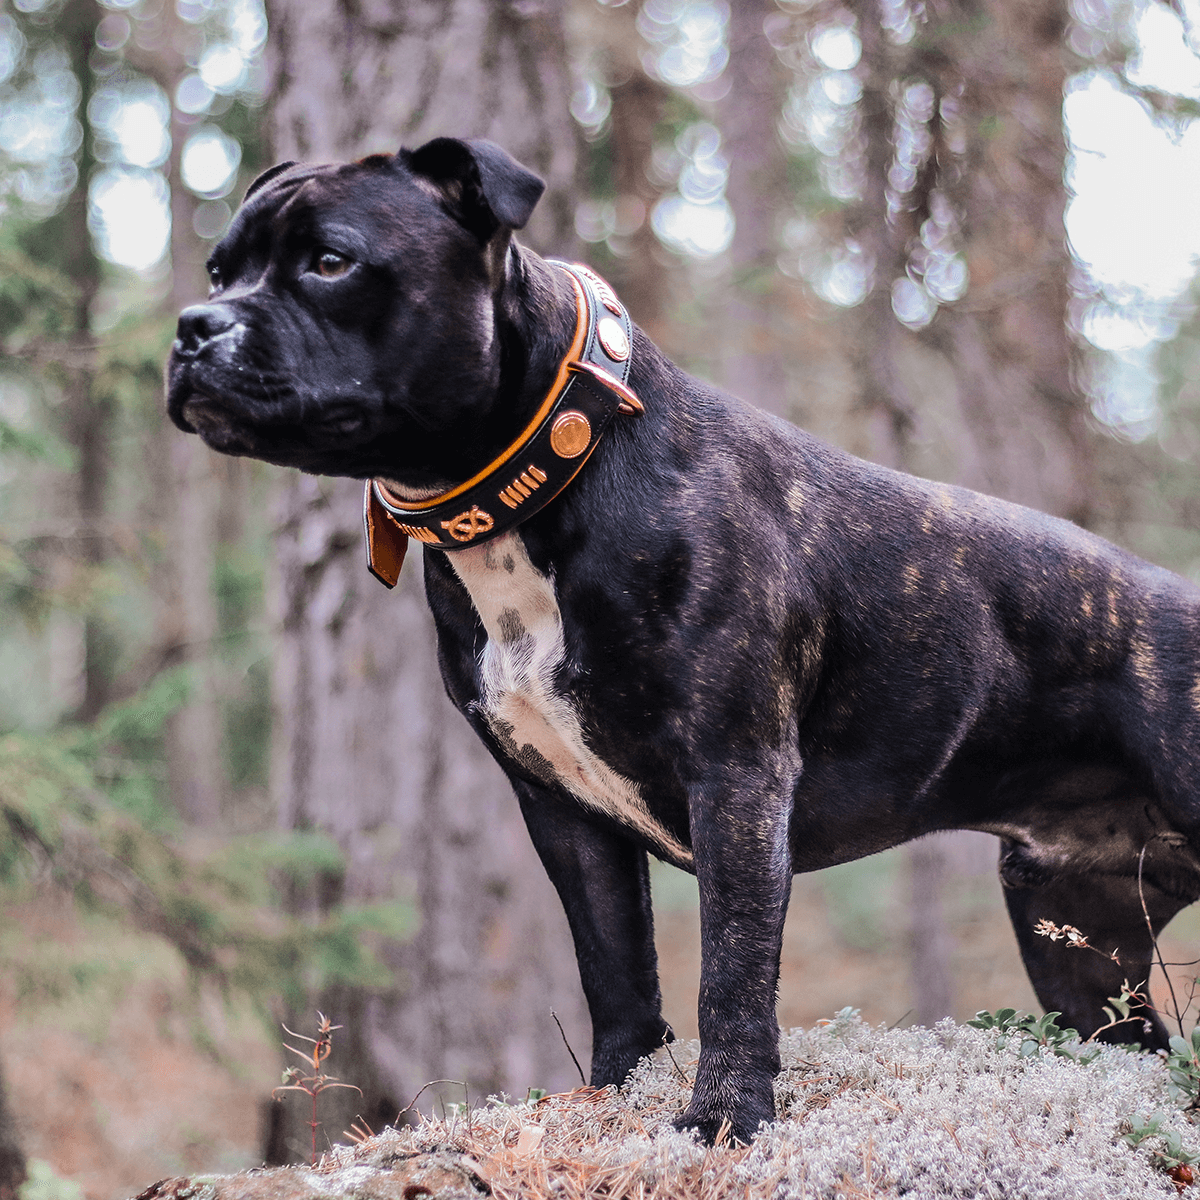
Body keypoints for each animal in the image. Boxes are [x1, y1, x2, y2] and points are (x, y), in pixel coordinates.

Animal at [166, 138, 1200, 1142]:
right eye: (220, 270)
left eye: (330, 262)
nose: (190, 326)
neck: (549, 471)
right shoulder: (564, 812)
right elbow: (616, 966)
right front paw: (615, 1095)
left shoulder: (735, 779)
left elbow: (731, 974)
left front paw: (725, 1118)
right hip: (1075, 937)